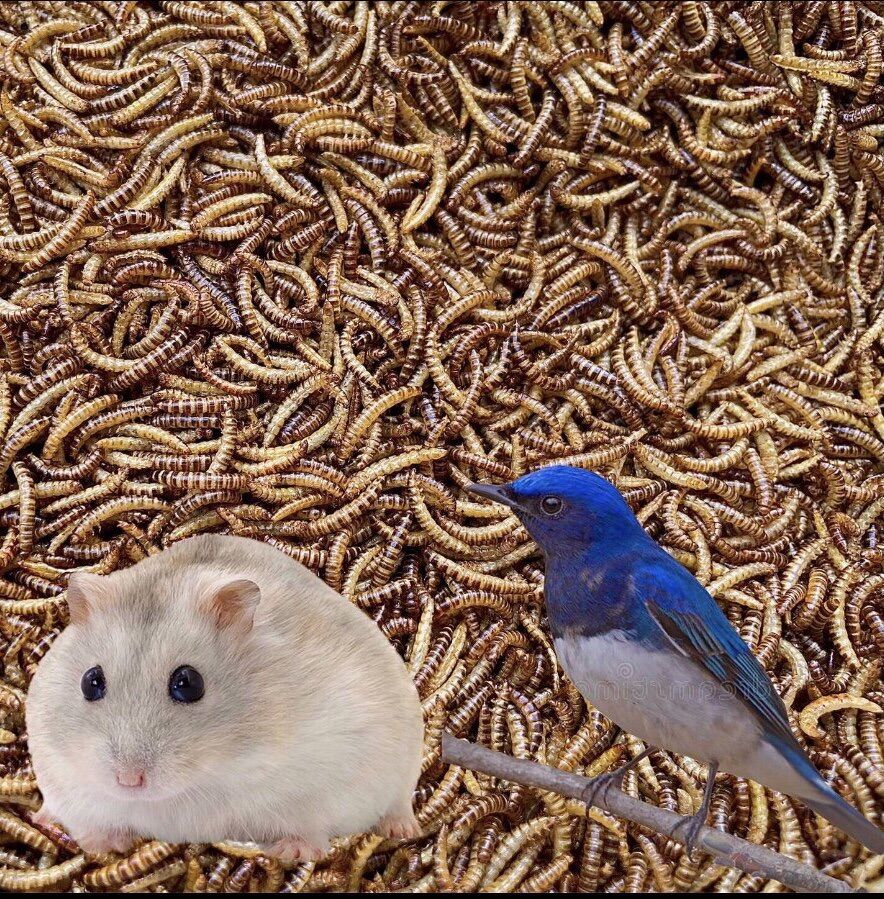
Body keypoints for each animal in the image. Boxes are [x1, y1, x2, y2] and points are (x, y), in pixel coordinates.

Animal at [26, 534, 424, 860]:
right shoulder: (61, 774)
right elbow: (89, 821)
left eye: (188, 683)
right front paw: (105, 846)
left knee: (399, 802)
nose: (128, 780)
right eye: (90, 682)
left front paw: (292, 852)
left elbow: (310, 821)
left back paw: (404, 831)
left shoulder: (331, 764)